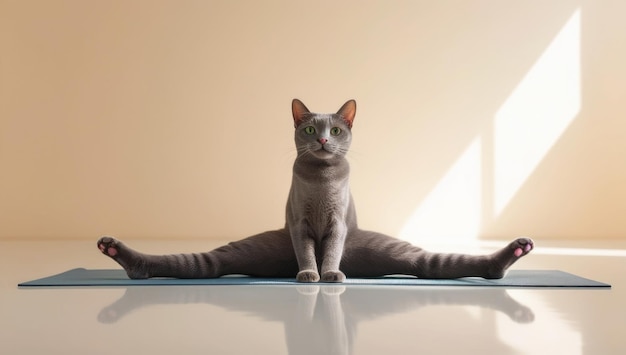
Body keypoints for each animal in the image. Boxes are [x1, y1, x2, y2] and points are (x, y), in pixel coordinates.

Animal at [97, 99, 532, 284]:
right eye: (309, 129)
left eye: (335, 130)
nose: (323, 139)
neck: (322, 180)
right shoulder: (300, 223)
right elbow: (308, 250)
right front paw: (310, 274)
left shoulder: (337, 224)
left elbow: (332, 247)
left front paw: (330, 274)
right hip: (247, 251)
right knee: (201, 264)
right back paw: (117, 252)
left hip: (393, 251)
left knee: (437, 264)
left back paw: (514, 252)